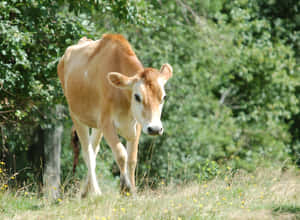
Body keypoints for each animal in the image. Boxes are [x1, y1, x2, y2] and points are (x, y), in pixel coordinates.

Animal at [57, 33, 172, 196]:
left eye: (163, 97)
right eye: (137, 96)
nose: (155, 129)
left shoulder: (137, 125)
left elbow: (132, 159)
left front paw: (132, 191)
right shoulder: (106, 123)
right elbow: (121, 154)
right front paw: (125, 187)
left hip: (96, 124)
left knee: (94, 149)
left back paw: (85, 192)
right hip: (76, 115)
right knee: (87, 152)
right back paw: (96, 192)